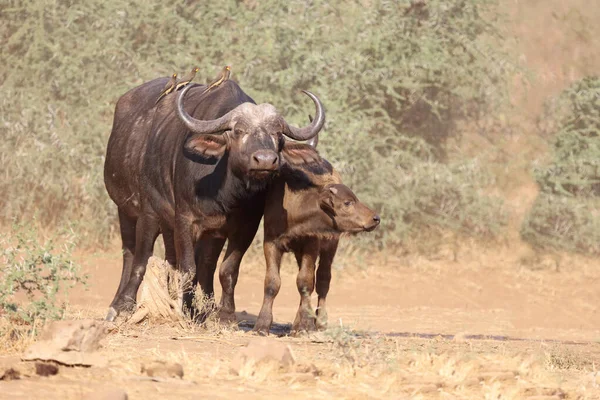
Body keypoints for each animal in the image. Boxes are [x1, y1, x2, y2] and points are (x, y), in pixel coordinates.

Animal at [105, 76, 326, 322]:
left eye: (277, 133)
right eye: (238, 131)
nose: (265, 160)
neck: (225, 194)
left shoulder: (242, 227)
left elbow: (225, 269)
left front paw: (224, 314)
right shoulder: (183, 219)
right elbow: (187, 267)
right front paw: (188, 310)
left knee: (187, 262)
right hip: (135, 211)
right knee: (134, 255)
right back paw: (121, 304)